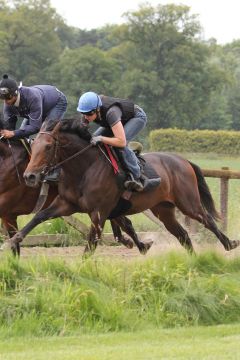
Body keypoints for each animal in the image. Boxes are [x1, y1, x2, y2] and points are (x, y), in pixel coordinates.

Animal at [7, 116, 240, 255]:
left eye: (47, 147)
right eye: (34, 145)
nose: (29, 176)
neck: (84, 169)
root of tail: (183, 160)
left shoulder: (99, 214)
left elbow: (90, 246)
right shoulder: (66, 204)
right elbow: (39, 216)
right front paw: (14, 239)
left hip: (188, 202)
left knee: (207, 219)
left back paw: (229, 244)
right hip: (164, 209)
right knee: (183, 235)